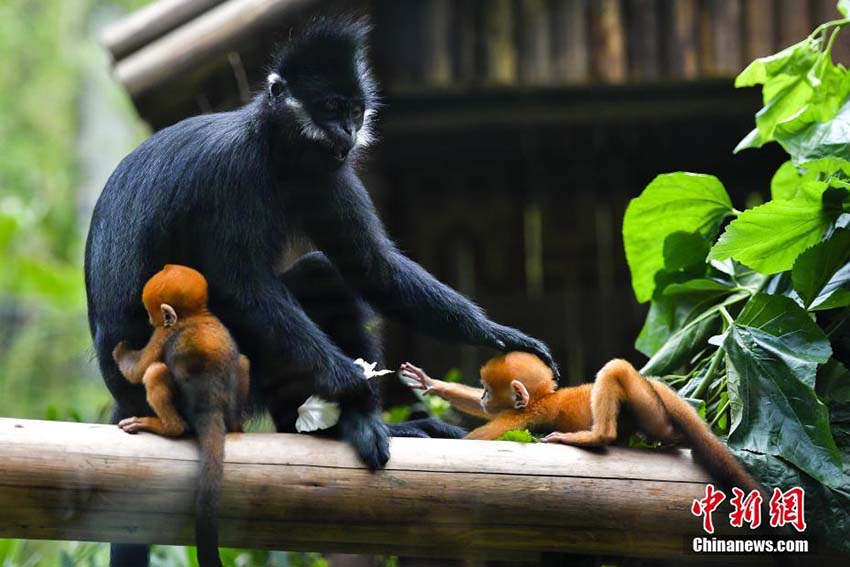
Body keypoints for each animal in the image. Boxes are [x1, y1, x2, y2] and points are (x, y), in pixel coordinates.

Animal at [112, 266, 247, 567]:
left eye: (150, 312)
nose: (148, 319)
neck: (196, 315)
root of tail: (210, 405)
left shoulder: (164, 333)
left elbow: (138, 369)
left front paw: (120, 349)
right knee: (244, 361)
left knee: (155, 372)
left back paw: (166, 427)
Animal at [400, 352, 760, 494]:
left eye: (489, 388)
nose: (487, 397)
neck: (542, 397)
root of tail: (655, 386)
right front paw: (432, 384)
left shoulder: (520, 416)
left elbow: (475, 442)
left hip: (648, 408)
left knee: (615, 370)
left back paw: (596, 436)